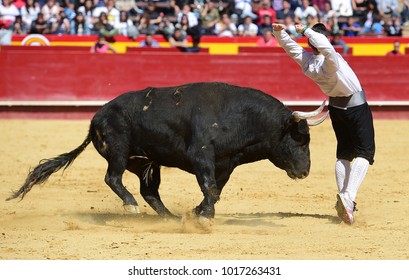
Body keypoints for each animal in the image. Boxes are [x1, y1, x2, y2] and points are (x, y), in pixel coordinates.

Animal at [6, 82, 326, 220]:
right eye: (301, 139)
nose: (304, 171)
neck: (238, 116)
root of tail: (96, 117)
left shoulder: (225, 163)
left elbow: (215, 190)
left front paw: (197, 212)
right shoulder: (201, 156)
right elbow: (210, 187)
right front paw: (205, 216)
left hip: (147, 163)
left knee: (149, 191)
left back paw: (169, 216)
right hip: (119, 151)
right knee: (113, 178)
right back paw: (131, 206)